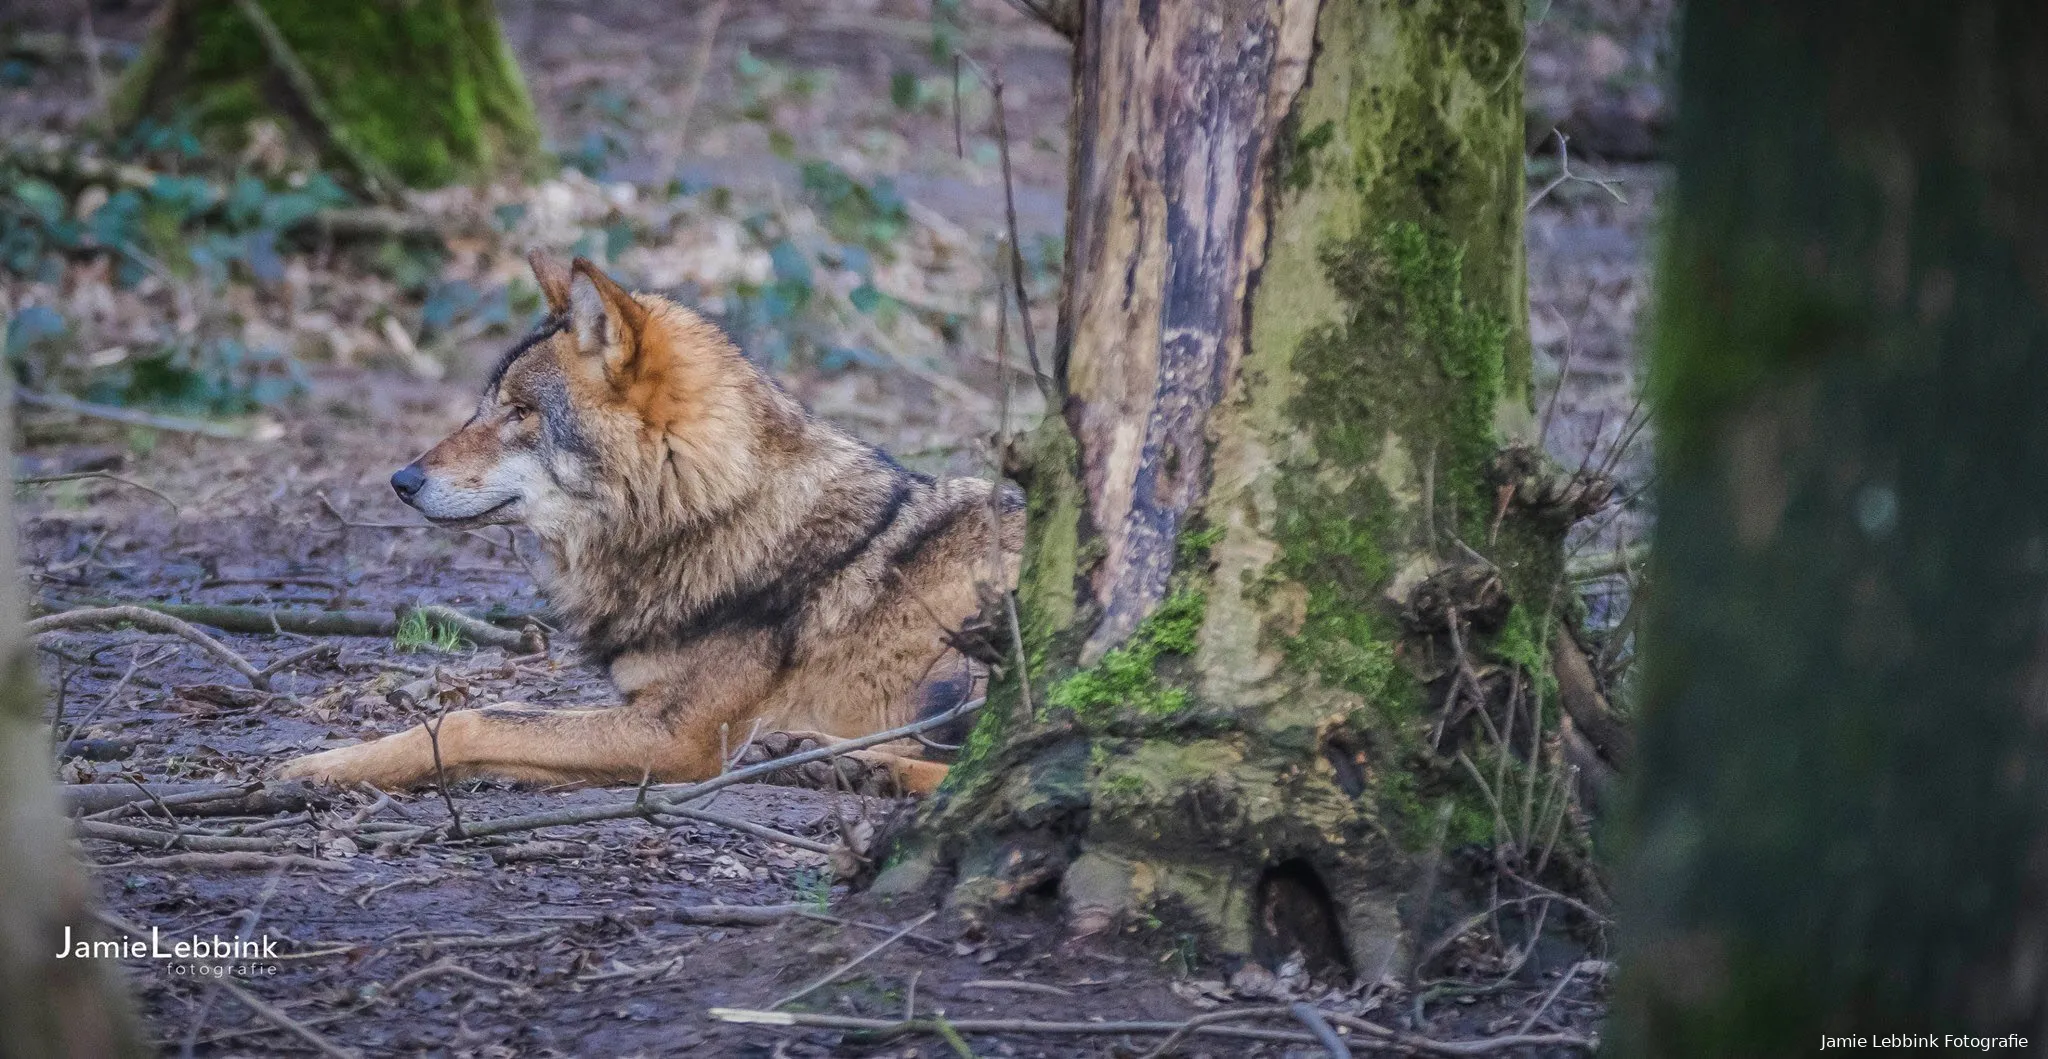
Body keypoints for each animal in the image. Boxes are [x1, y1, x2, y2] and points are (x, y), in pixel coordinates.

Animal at [280, 251, 1024, 786]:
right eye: (484, 407)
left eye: (520, 412)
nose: (401, 480)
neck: (713, 511)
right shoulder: (639, 713)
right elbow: (492, 726)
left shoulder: (677, 736)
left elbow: (470, 719)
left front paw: (316, 766)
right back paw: (814, 754)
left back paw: (851, 765)